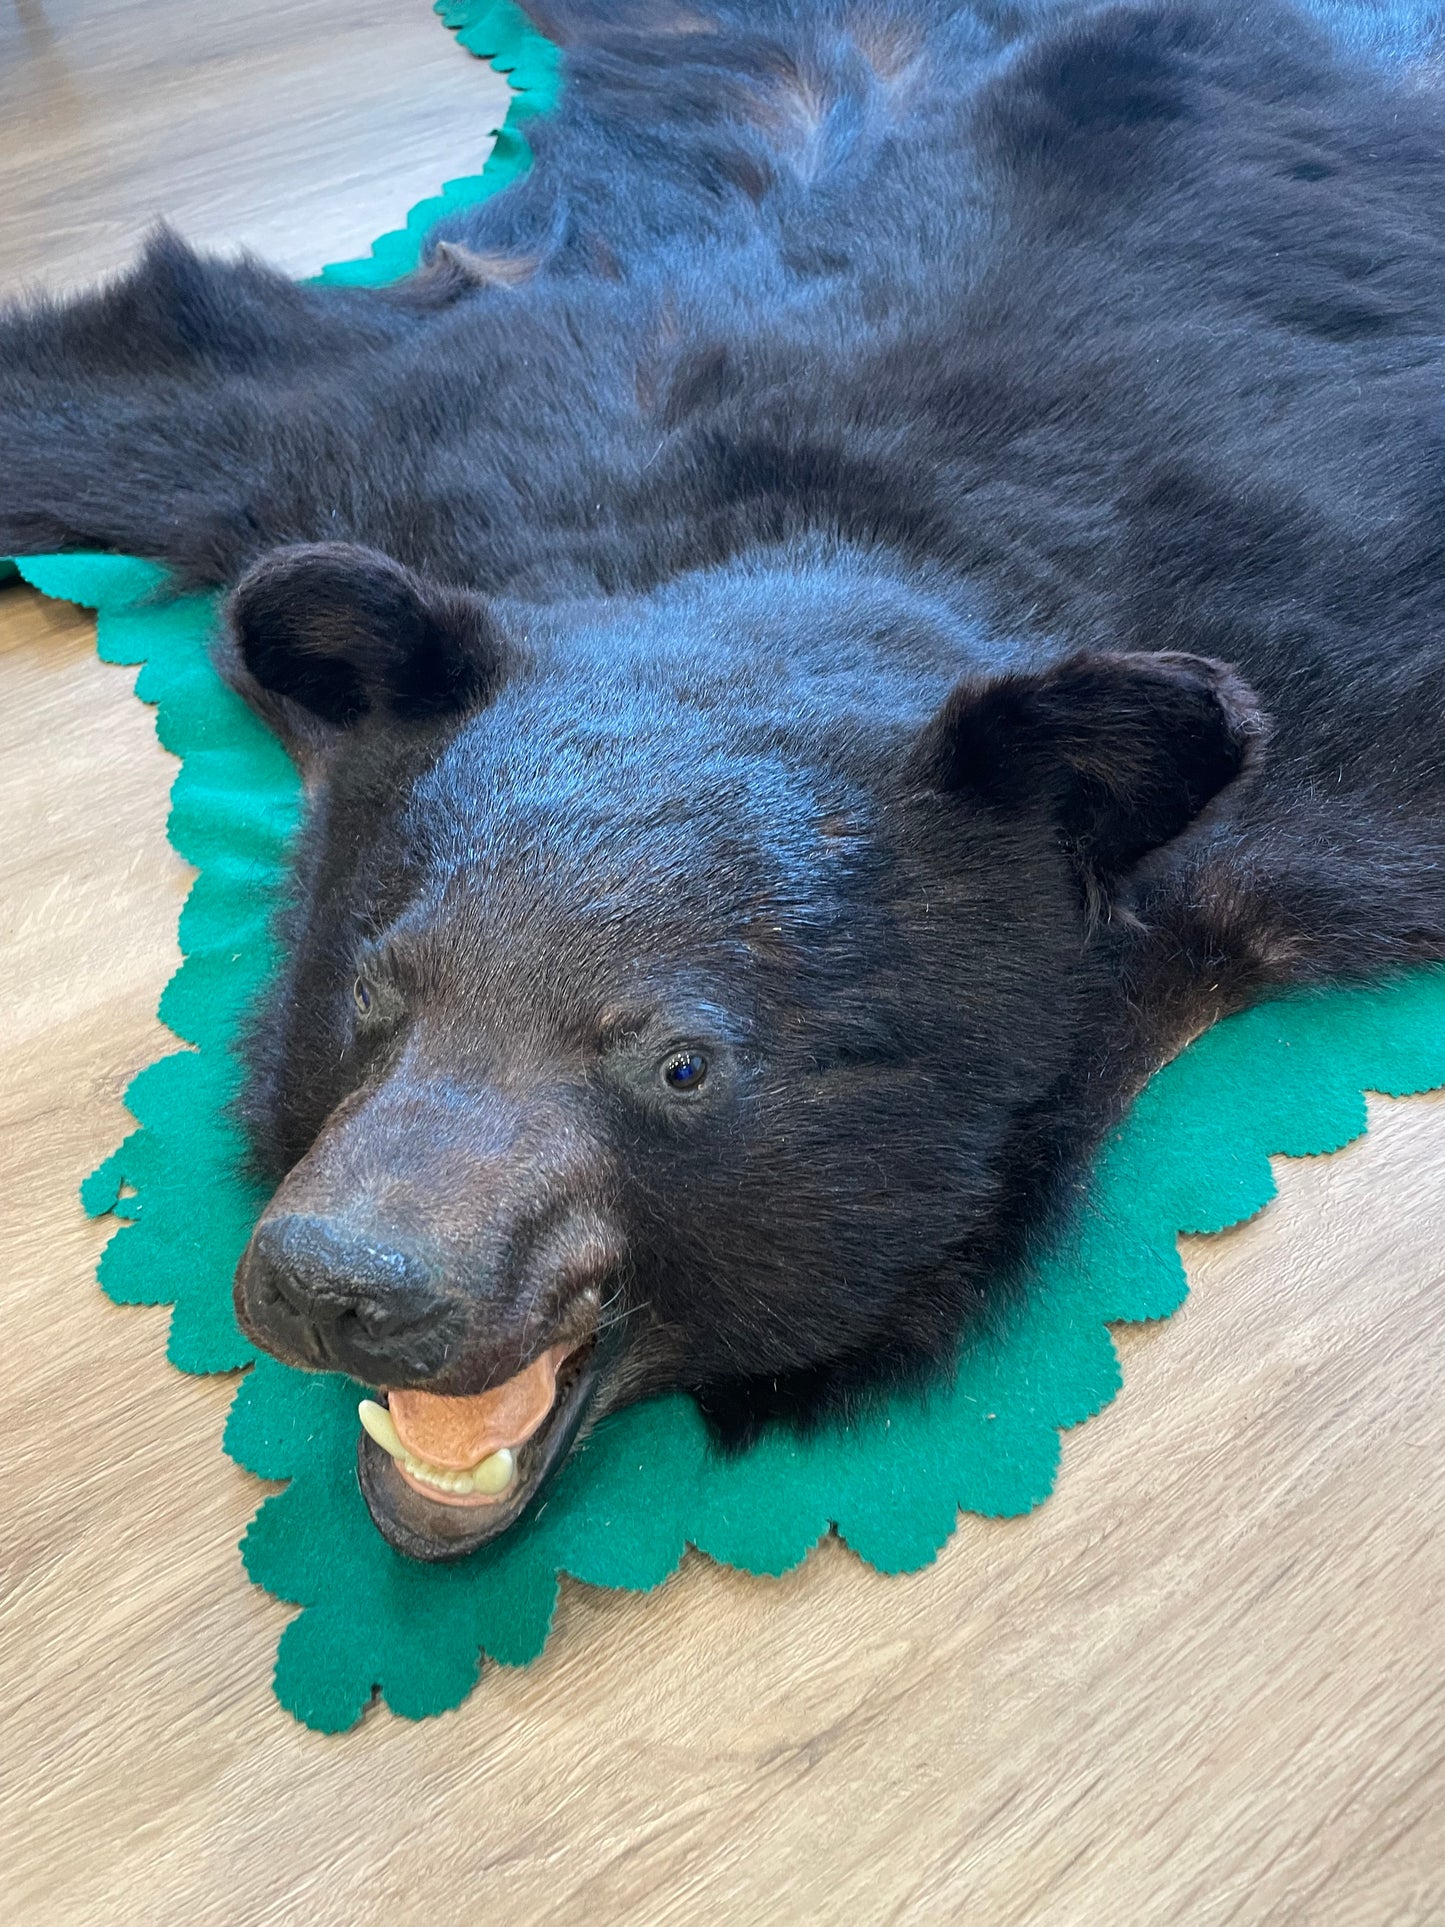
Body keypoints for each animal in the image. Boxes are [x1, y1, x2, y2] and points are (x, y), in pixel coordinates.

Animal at [2, 0, 1444, 1560]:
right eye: (373, 992)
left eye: (681, 1063)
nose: (343, 1285)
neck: (844, 548)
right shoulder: (441, 441)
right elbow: (180, 380)